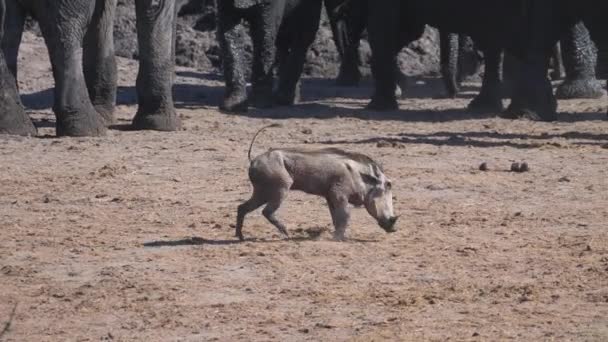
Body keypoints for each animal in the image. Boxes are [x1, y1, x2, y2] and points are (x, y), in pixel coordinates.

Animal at [0, 0, 179, 136]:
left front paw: (103, 115)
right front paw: (159, 124)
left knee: (7, 26)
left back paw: (13, 127)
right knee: (66, 21)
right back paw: (86, 129)